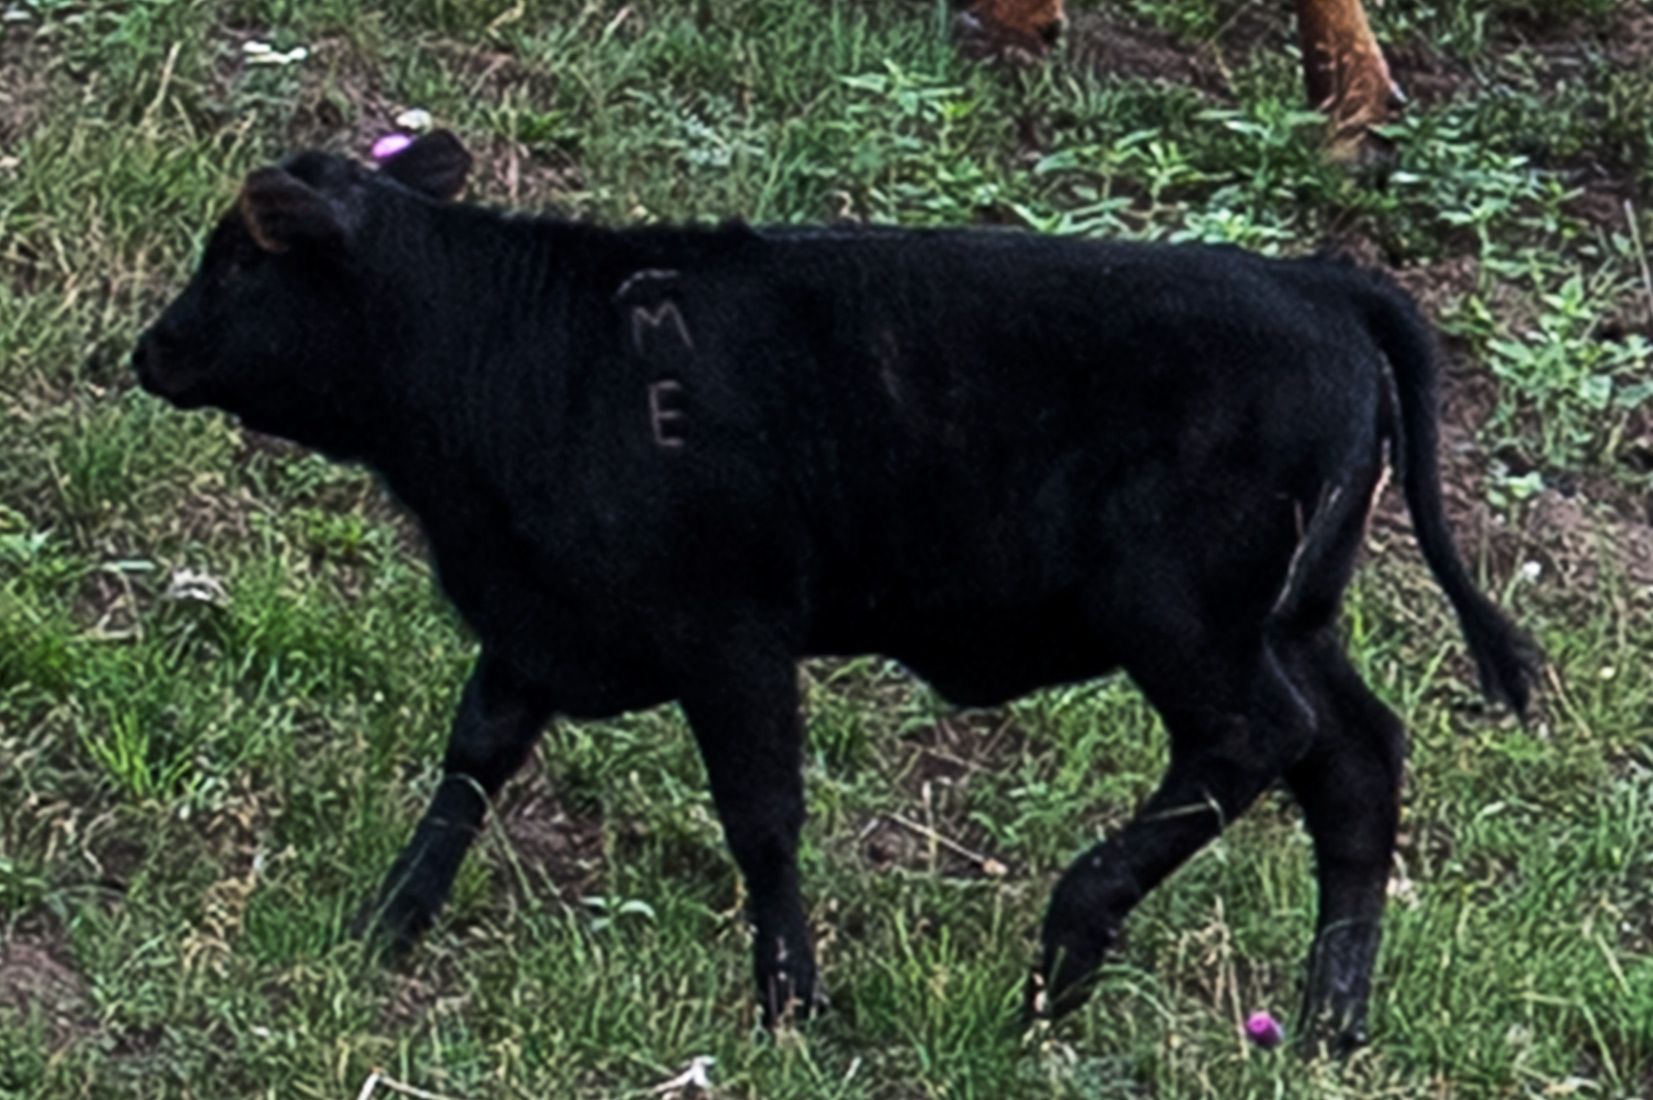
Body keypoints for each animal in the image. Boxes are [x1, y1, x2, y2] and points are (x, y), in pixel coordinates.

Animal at [131, 132, 1534, 1050]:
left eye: (239, 263)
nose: (151, 351)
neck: (541, 351)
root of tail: (1316, 277)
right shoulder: (536, 619)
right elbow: (471, 762)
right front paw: (387, 923)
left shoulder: (732, 632)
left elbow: (762, 815)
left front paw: (788, 1000)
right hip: (1294, 619)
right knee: (1355, 761)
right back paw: (1328, 1020)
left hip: (1188, 618)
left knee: (1255, 740)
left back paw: (1071, 940)